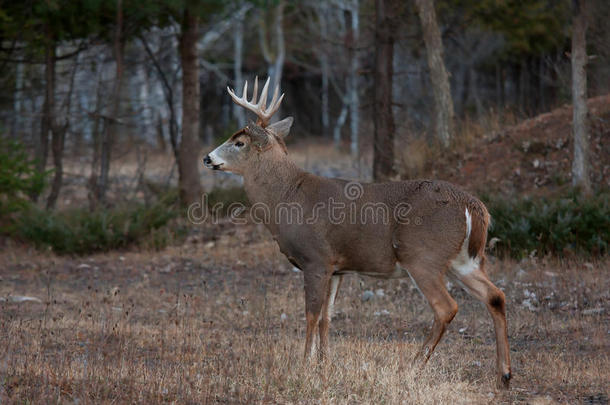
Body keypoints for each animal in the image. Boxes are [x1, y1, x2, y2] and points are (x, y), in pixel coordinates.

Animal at [202, 76, 510, 388]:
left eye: (239, 142)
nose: (207, 158)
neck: (286, 197)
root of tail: (475, 207)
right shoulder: (338, 267)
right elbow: (327, 317)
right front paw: (324, 363)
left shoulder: (315, 259)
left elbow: (311, 314)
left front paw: (303, 365)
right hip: (465, 261)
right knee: (495, 296)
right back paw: (504, 375)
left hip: (423, 257)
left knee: (446, 307)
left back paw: (411, 368)